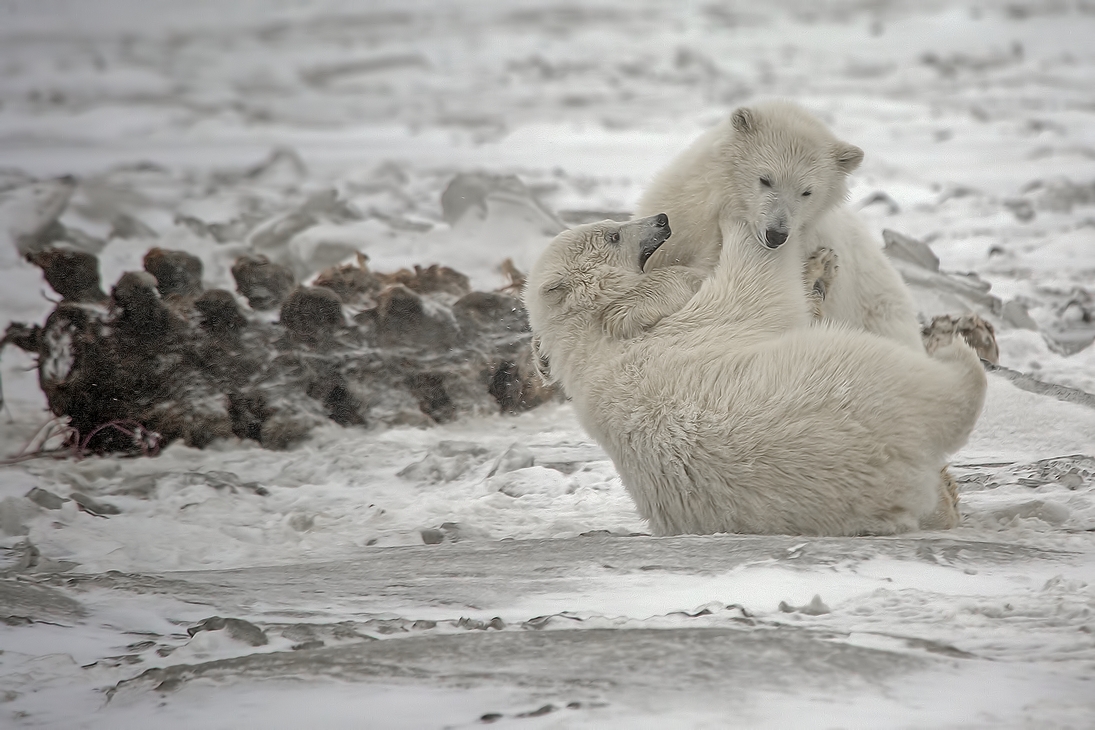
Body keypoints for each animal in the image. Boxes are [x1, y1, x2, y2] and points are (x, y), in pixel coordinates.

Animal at [525, 212, 989, 536]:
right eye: (613, 235)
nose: (661, 219)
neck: (588, 342)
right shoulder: (691, 327)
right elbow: (754, 290)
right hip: (857, 374)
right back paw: (955, 359)